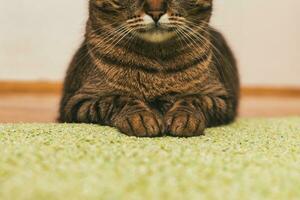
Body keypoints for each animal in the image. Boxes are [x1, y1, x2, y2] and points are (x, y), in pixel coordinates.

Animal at [58, 0, 239, 137]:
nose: (156, 11)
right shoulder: (77, 101)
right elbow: (117, 99)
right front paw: (141, 117)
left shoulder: (221, 97)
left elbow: (195, 99)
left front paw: (184, 117)